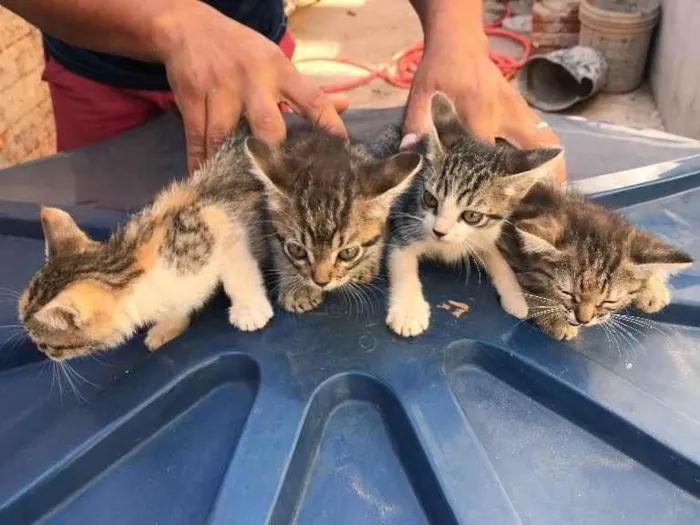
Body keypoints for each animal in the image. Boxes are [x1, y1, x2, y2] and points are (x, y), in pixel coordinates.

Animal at [19, 131, 274, 360]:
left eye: (47, 343)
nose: (42, 351)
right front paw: (168, 326)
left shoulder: (216, 222)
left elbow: (239, 271)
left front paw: (249, 309)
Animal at [245, 125, 422, 312]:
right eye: (297, 250)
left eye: (348, 253)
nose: (321, 282)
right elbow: (279, 251)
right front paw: (298, 288)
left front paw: (367, 264)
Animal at [498, 183, 696, 340]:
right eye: (567, 292)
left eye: (608, 301)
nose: (583, 320)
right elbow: (527, 286)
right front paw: (556, 319)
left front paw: (652, 290)